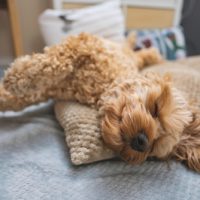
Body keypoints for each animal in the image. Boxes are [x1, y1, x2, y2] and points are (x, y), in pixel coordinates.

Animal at [0, 33, 199, 172]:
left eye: (155, 147)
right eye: (155, 108)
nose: (142, 142)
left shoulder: (51, 89)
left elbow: (21, 96)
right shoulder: (85, 44)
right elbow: (55, 60)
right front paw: (17, 76)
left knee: (143, 54)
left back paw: (153, 54)